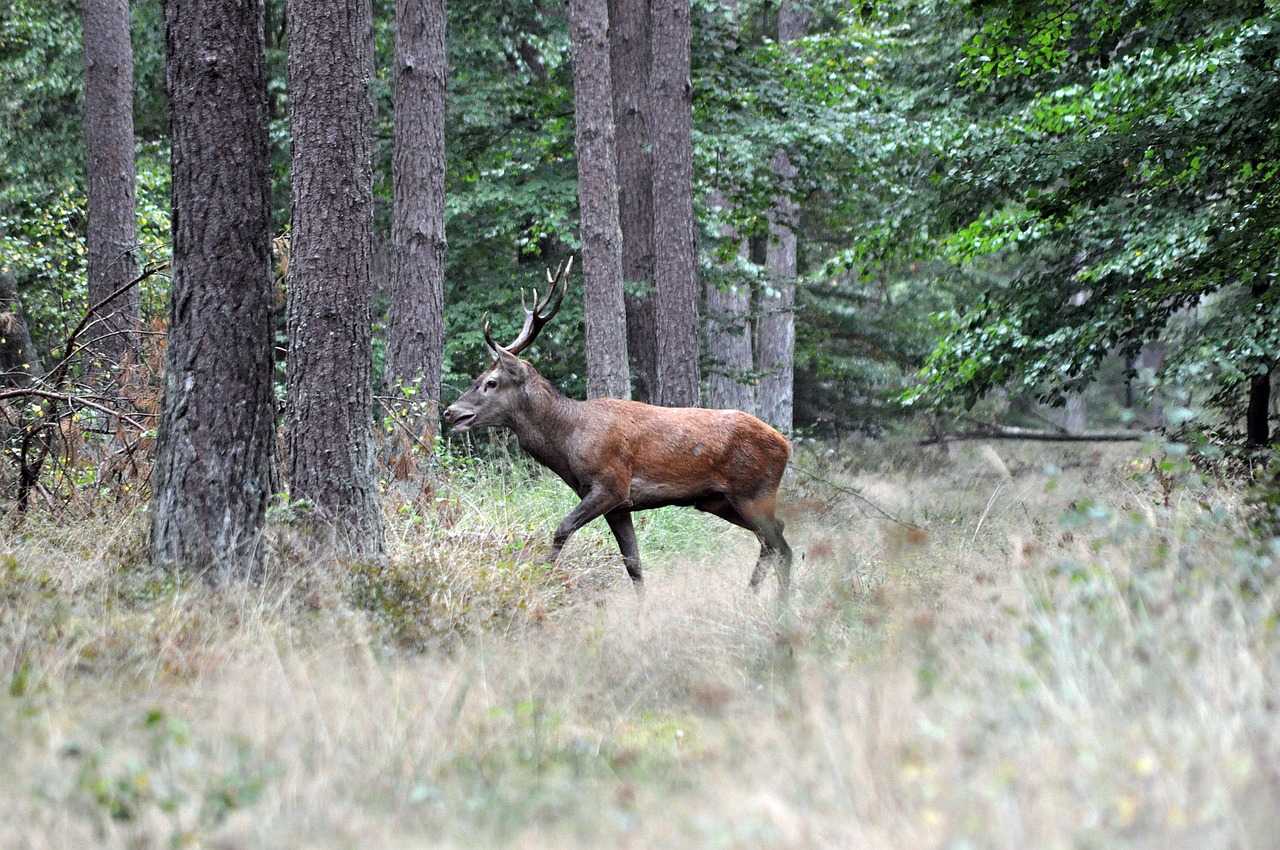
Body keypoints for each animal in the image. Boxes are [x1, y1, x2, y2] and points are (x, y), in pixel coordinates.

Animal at [445, 256, 793, 593]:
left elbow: (561, 529)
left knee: (781, 544)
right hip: (720, 501)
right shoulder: (620, 505)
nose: (450, 412)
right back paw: (753, 595)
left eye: (490, 382)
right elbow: (633, 563)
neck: (568, 442)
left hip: (753, 491)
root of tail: (786, 445)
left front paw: (539, 580)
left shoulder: (610, 483)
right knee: (773, 538)